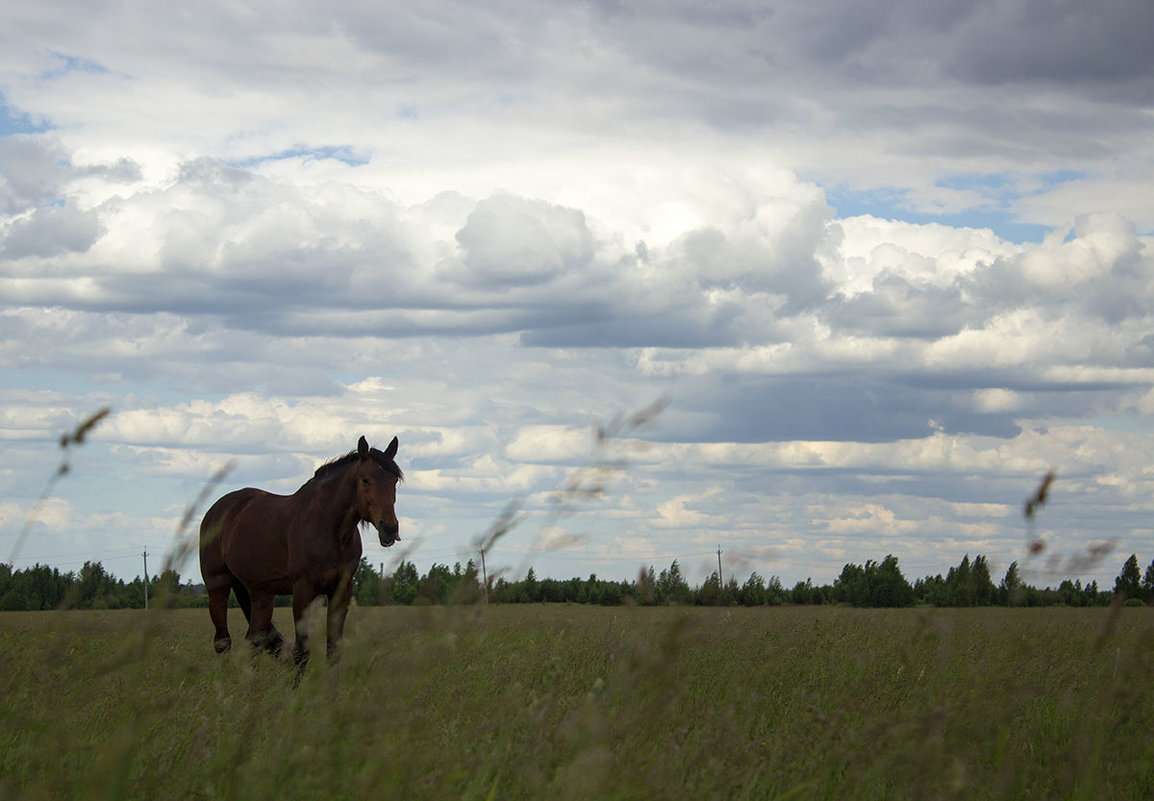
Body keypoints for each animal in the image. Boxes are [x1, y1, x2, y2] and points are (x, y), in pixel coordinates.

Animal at [195, 436, 401, 669]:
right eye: (365, 479)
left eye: (394, 481)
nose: (389, 528)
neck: (328, 527)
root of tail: (217, 510)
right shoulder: (303, 591)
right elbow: (302, 651)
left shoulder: (342, 591)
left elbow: (333, 649)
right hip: (217, 586)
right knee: (223, 641)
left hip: (260, 593)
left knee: (255, 639)